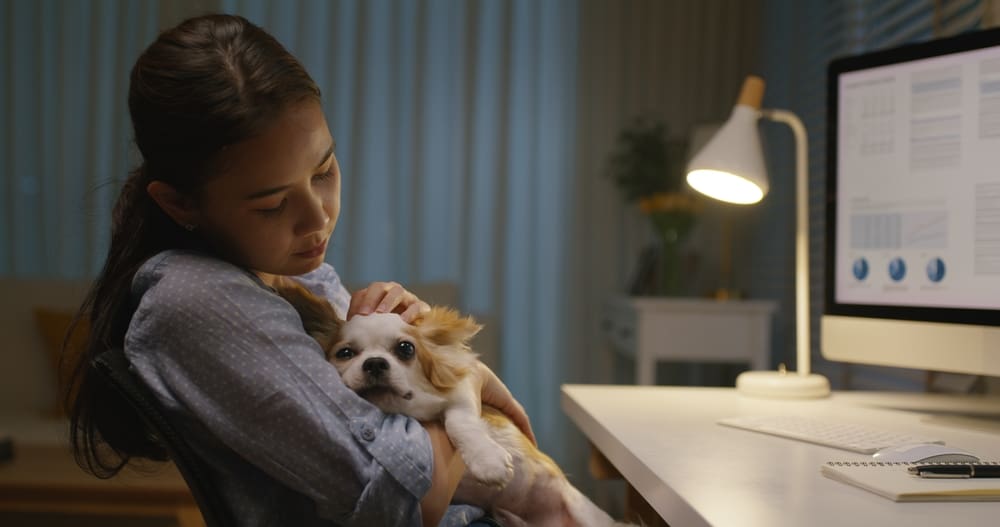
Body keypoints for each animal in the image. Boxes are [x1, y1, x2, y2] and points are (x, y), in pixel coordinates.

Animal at [278, 282, 628, 527]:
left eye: (406, 349)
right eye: (346, 353)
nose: (375, 364)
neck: (408, 410)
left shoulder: (461, 394)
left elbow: (460, 422)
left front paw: (487, 462)